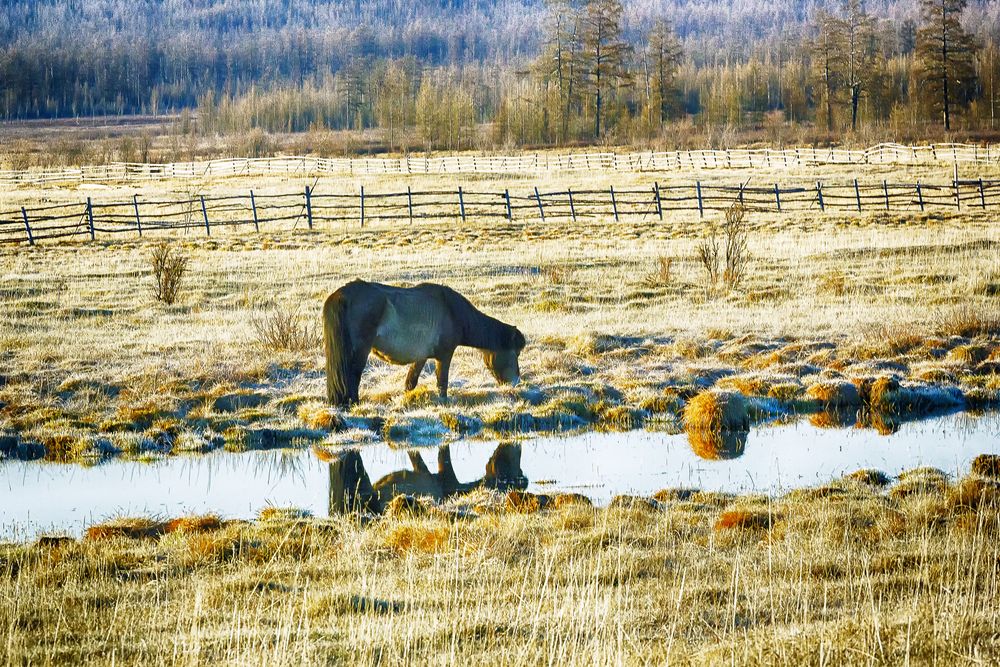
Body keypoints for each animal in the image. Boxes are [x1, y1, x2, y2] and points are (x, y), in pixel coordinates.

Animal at [322, 280, 526, 406]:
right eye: (516, 353)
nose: (516, 383)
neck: (453, 311)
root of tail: (341, 295)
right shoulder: (445, 355)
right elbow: (442, 382)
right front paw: (443, 403)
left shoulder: (420, 357)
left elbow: (410, 382)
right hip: (359, 352)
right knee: (353, 376)